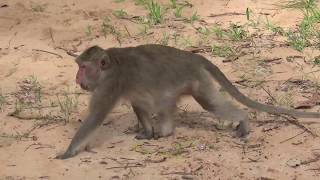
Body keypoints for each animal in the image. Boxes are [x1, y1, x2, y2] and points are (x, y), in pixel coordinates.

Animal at [55, 44, 320, 159]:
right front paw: (146, 132)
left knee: (207, 103)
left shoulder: (109, 85)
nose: (76, 77)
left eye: (83, 68)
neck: (109, 67)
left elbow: (95, 117)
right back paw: (163, 131)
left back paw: (242, 121)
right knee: (162, 102)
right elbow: (138, 104)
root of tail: (191, 56)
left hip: (194, 80)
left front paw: (68, 151)